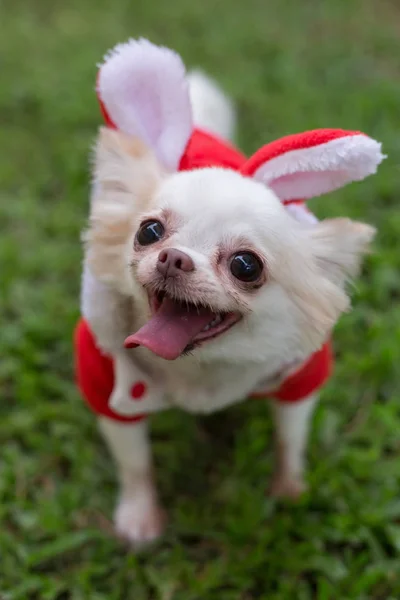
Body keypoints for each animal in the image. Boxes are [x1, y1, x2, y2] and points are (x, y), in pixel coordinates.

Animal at [74, 36, 384, 544]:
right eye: (148, 231)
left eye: (245, 265)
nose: (174, 258)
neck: (201, 369)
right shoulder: (106, 375)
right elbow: (134, 460)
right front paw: (140, 516)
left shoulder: (301, 372)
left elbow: (290, 435)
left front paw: (289, 488)